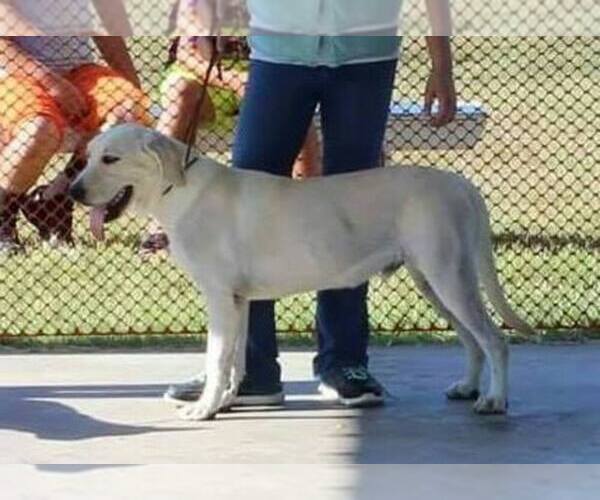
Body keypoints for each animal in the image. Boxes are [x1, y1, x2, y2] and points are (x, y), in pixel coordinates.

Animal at [70, 123, 536, 420]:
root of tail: (463, 184)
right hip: (435, 283)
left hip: (450, 278)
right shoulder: (238, 301)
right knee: (472, 341)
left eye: (110, 159)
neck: (177, 188)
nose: (73, 191)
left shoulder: (219, 298)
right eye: (88, 156)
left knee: (494, 341)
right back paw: (469, 387)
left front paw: (203, 409)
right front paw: (224, 403)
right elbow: (234, 362)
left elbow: (216, 358)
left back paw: (494, 401)